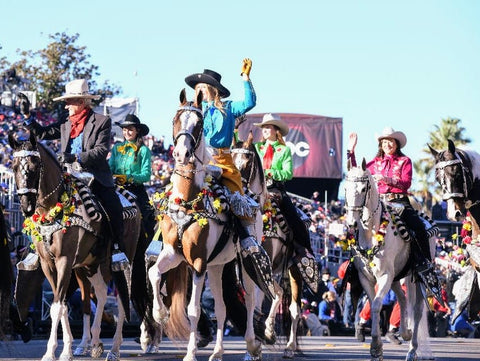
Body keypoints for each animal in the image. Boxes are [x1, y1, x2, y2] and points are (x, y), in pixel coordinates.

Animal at [8, 133, 144, 360]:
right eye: (14, 165)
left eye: (35, 165)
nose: (26, 206)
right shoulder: (48, 264)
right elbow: (62, 304)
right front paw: (67, 349)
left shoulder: (64, 260)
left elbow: (57, 306)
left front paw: (52, 352)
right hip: (89, 265)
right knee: (99, 293)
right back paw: (94, 342)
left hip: (123, 260)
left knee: (123, 299)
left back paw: (114, 348)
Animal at [231, 134, 314, 358]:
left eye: (247, 162)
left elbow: (261, 298)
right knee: (278, 294)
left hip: (295, 270)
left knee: (293, 308)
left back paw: (290, 347)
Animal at [344, 160, 432, 360]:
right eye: (345, 188)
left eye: (363, 188)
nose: (351, 223)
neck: (371, 234)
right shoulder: (366, 278)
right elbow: (373, 304)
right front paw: (376, 349)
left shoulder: (385, 275)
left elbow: (377, 305)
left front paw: (376, 346)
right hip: (397, 277)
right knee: (402, 297)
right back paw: (404, 332)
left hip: (417, 278)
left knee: (417, 310)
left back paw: (412, 349)